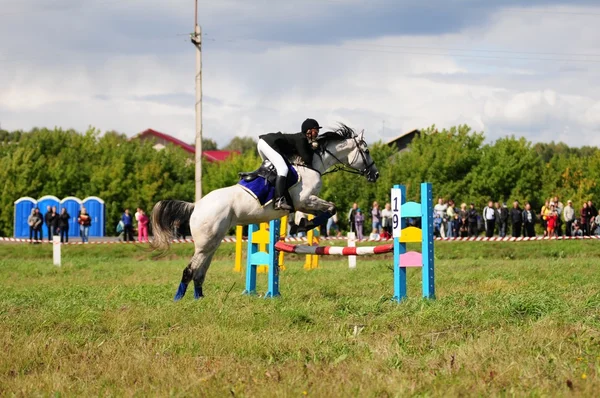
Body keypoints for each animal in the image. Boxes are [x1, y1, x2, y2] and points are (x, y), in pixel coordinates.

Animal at [150, 124, 378, 298]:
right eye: (366, 151)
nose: (375, 174)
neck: (312, 164)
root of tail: (196, 205)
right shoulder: (305, 200)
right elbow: (330, 209)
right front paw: (305, 225)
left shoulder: (303, 204)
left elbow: (312, 214)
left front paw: (301, 225)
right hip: (205, 243)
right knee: (190, 270)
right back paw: (179, 300)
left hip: (213, 242)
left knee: (199, 272)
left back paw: (199, 299)